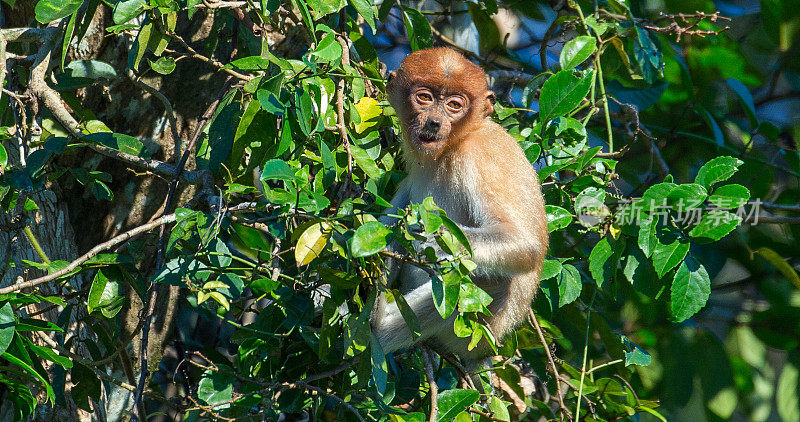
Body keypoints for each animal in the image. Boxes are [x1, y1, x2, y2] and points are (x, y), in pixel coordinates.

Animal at [370, 47, 552, 366]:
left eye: (454, 105)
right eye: (425, 97)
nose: (434, 122)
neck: (453, 145)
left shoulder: (481, 154)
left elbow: (523, 243)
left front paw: (432, 243)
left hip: (477, 328)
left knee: (482, 277)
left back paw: (377, 325)